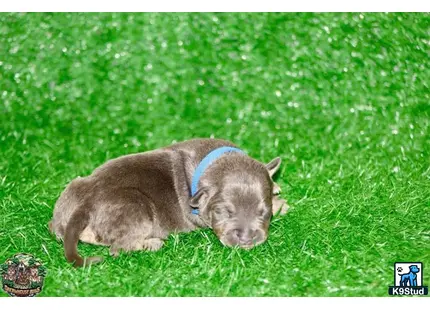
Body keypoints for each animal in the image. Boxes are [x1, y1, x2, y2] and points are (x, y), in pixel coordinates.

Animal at [48, 138, 288, 266]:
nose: (246, 238)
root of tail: (84, 205)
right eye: (224, 212)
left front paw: (277, 195)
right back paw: (152, 243)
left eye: (263, 213)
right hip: (137, 207)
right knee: (118, 248)